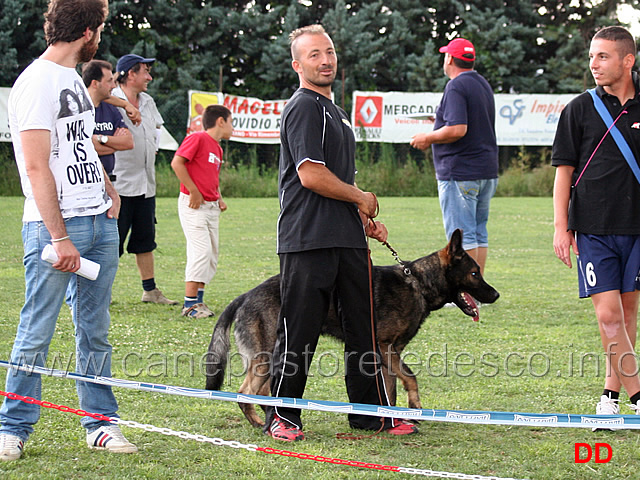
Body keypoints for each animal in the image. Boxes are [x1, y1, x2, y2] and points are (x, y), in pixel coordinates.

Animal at [205, 229, 500, 428]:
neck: (418, 283)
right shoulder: (385, 348)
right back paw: (260, 422)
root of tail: (245, 295)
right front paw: (415, 407)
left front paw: (392, 420)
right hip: (267, 357)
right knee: (245, 393)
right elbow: (411, 377)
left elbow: (390, 392)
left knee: (261, 392)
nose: (496, 295)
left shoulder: (388, 355)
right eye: (475, 273)